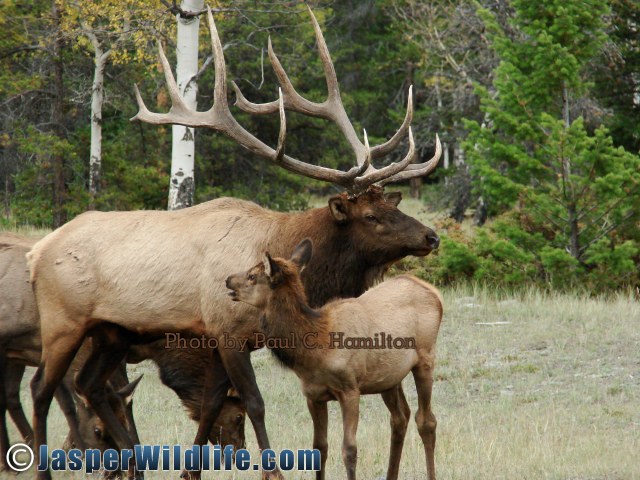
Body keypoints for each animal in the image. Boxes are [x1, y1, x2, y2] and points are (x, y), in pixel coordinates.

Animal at [228, 240, 442, 480]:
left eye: (252, 275)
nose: (228, 279)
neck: (315, 350)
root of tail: (434, 292)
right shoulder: (313, 395)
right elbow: (320, 447)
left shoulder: (350, 389)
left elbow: (349, 449)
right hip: (389, 377)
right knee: (400, 418)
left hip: (425, 358)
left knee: (426, 421)